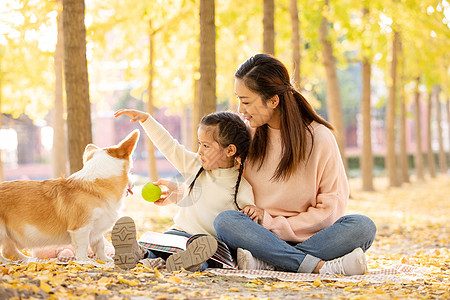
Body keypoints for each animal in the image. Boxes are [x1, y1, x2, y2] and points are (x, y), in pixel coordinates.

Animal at [0, 129, 140, 262]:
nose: (134, 184)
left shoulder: (96, 231)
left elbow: (99, 245)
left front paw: (104, 260)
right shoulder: (80, 228)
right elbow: (83, 247)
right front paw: (85, 261)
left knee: (8, 249)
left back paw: (27, 259)